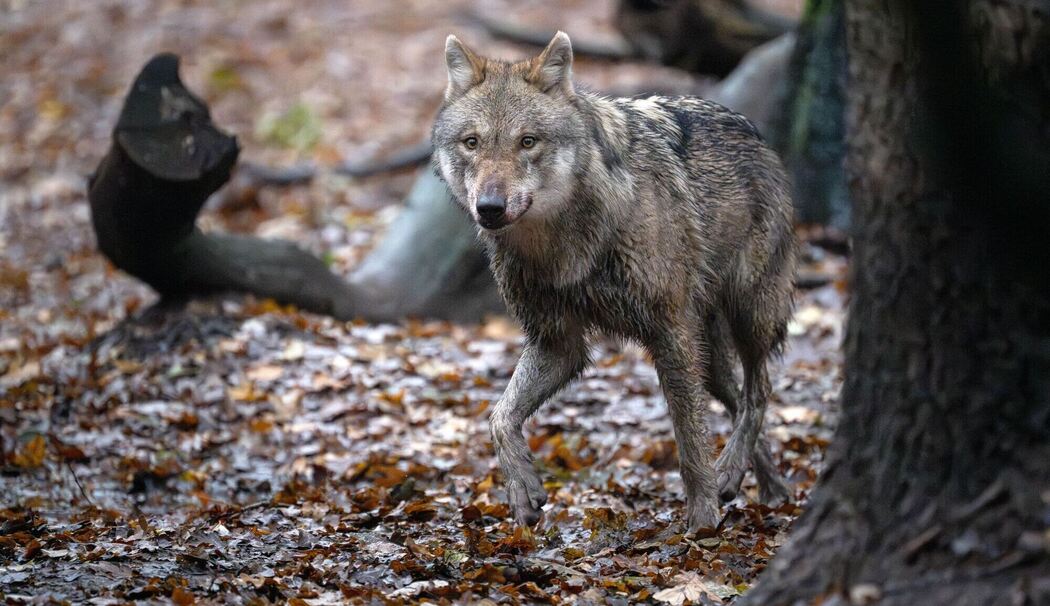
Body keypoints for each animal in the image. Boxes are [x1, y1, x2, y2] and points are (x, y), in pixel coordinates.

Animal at [432, 31, 796, 531]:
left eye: (527, 142)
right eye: (472, 142)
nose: (489, 208)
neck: (562, 246)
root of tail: (757, 134)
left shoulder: (669, 332)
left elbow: (689, 442)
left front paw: (702, 521)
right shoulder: (557, 343)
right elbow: (499, 417)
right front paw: (522, 489)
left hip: (749, 314)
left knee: (759, 392)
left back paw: (732, 474)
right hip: (709, 355)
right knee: (739, 400)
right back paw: (763, 486)